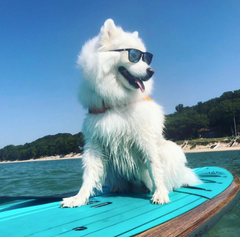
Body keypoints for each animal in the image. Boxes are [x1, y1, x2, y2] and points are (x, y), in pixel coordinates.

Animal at [61, 19, 201, 207]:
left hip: (172, 149)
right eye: (133, 55)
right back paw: (119, 187)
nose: (151, 71)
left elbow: (155, 168)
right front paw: (78, 198)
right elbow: (89, 174)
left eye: (147, 57)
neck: (117, 102)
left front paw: (160, 194)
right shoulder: (95, 142)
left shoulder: (145, 138)